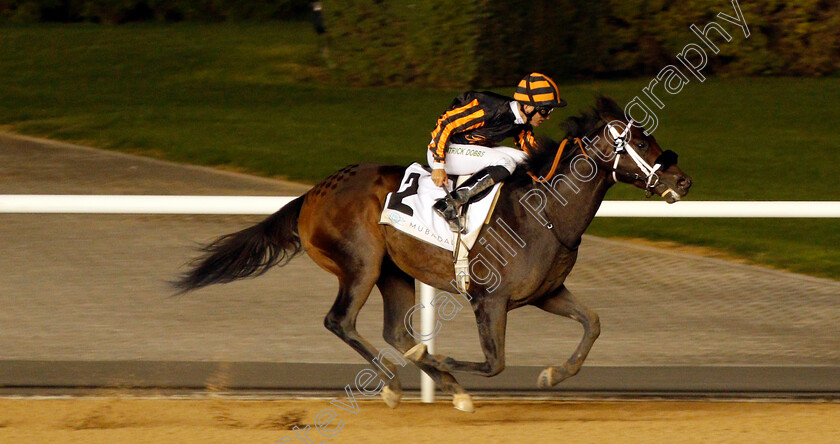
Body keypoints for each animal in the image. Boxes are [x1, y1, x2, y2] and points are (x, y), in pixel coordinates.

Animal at [174, 96, 692, 412]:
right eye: (639, 141)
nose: (683, 181)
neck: (545, 212)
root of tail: (314, 193)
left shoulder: (547, 292)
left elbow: (593, 323)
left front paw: (552, 374)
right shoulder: (490, 299)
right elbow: (493, 362)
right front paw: (444, 363)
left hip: (394, 271)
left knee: (393, 331)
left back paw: (434, 383)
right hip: (361, 264)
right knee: (341, 321)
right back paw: (395, 385)